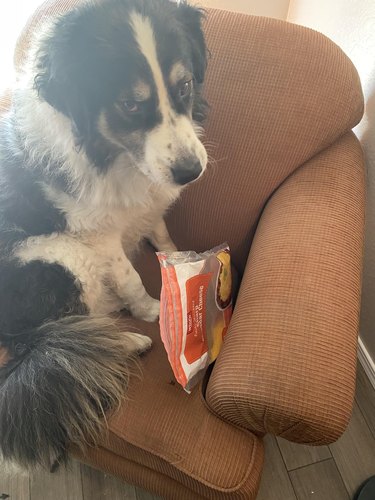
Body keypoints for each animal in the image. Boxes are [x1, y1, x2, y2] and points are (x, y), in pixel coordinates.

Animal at [0, 0, 209, 468]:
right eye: (129, 104)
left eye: (185, 85)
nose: (191, 172)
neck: (113, 155)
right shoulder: (95, 232)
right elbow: (129, 277)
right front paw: (153, 311)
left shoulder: (150, 203)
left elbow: (162, 233)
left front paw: (179, 261)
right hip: (58, 256)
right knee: (62, 336)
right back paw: (125, 342)